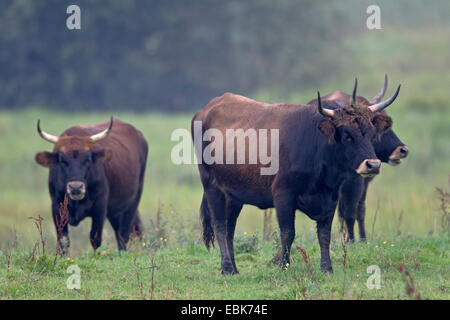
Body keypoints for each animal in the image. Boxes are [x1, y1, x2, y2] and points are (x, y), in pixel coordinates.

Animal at [35, 117, 148, 255]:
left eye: (87, 159)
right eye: (62, 160)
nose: (76, 187)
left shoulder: (100, 207)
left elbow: (95, 238)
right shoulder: (56, 207)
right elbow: (63, 240)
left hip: (132, 202)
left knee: (123, 234)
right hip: (115, 211)